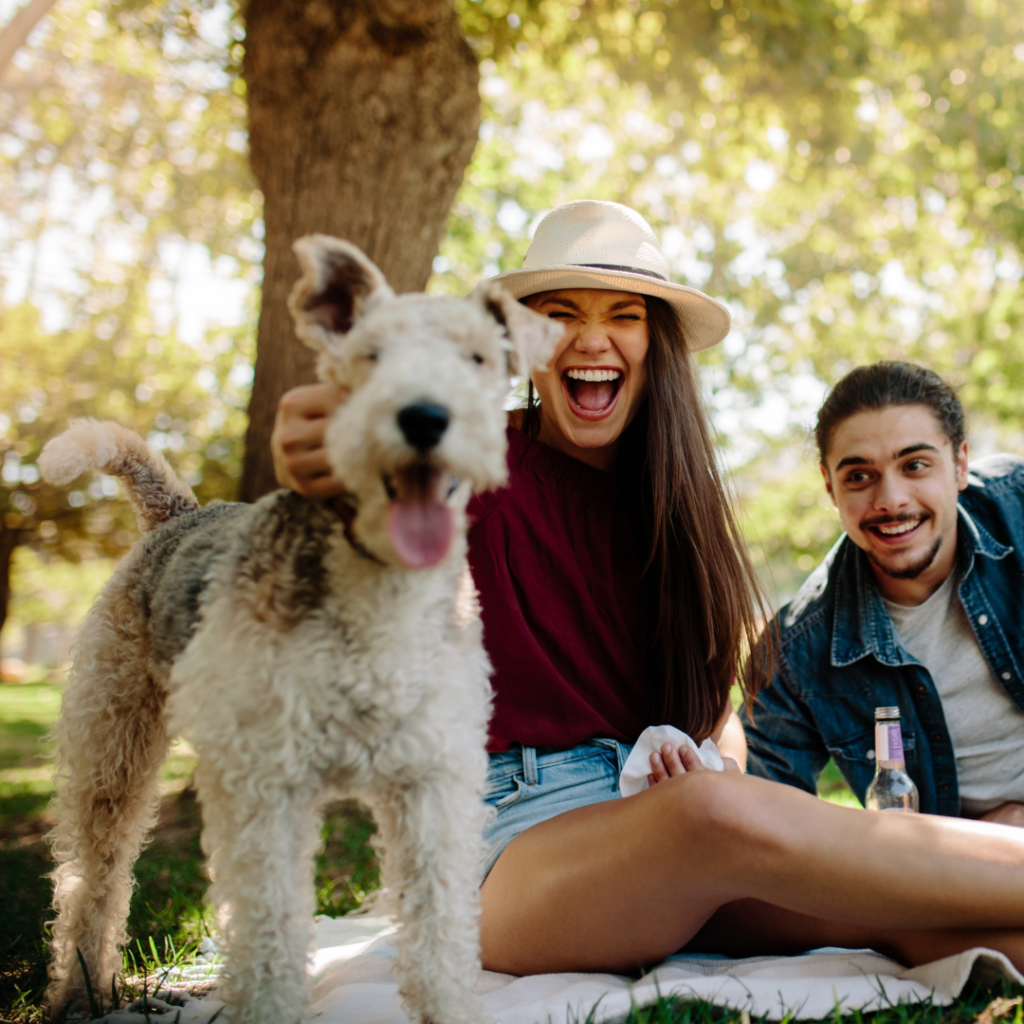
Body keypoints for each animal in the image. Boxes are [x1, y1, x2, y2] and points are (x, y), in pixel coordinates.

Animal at [37, 235, 561, 1019]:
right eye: (370, 354)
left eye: (476, 357)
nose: (424, 418)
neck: (376, 596)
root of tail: (180, 511)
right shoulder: (265, 787)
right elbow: (271, 941)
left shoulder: (431, 783)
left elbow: (439, 935)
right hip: (113, 742)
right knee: (91, 875)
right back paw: (82, 992)